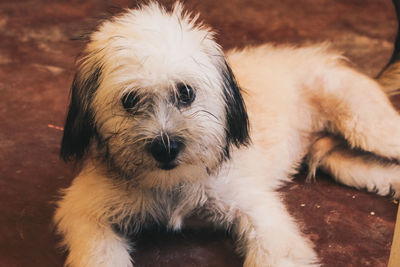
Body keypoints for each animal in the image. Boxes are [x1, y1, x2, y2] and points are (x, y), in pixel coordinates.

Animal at [53, 2, 400, 267]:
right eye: (130, 99)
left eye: (185, 92)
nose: (166, 149)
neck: (172, 186)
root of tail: (327, 58)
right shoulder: (83, 211)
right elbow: (98, 253)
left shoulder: (262, 215)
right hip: (345, 163)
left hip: (369, 130)